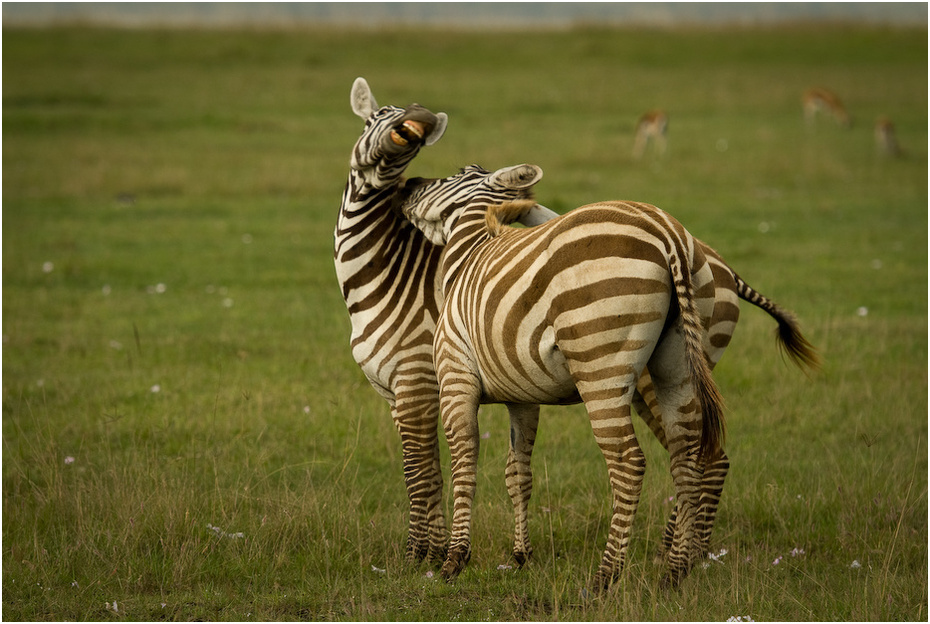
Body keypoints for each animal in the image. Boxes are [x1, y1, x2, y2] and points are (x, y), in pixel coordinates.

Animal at [336, 79, 560, 564]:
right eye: (374, 118)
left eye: (419, 143)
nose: (413, 125)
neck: (378, 272)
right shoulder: (396, 392)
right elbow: (430, 471)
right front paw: (435, 550)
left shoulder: (416, 382)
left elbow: (418, 472)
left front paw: (417, 554)